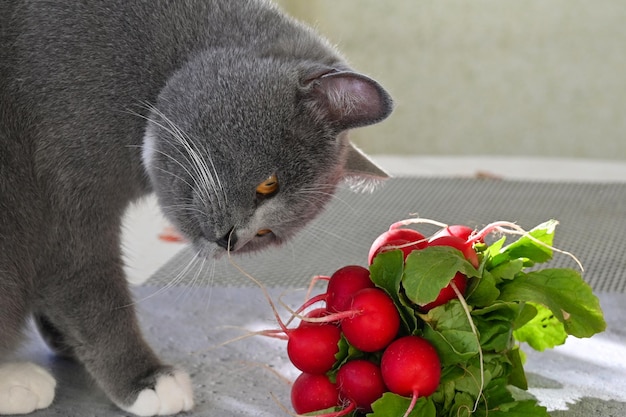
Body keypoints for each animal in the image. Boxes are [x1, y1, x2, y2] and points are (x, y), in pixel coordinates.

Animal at [0, 0, 390, 412]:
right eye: (268, 185)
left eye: (266, 234)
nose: (232, 239)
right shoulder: (69, 195)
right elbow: (94, 293)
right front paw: (147, 381)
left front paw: (65, 339)